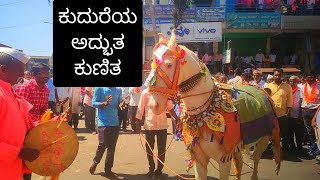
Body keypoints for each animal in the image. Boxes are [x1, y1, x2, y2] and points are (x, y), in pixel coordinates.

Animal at [145, 30, 280, 179]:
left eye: (169, 65)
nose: (153, 106)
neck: (205, 108)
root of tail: (258, 88)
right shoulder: (199, 159)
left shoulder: (224, 160)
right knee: (239, 164)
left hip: (265, 138)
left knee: (256, 158)